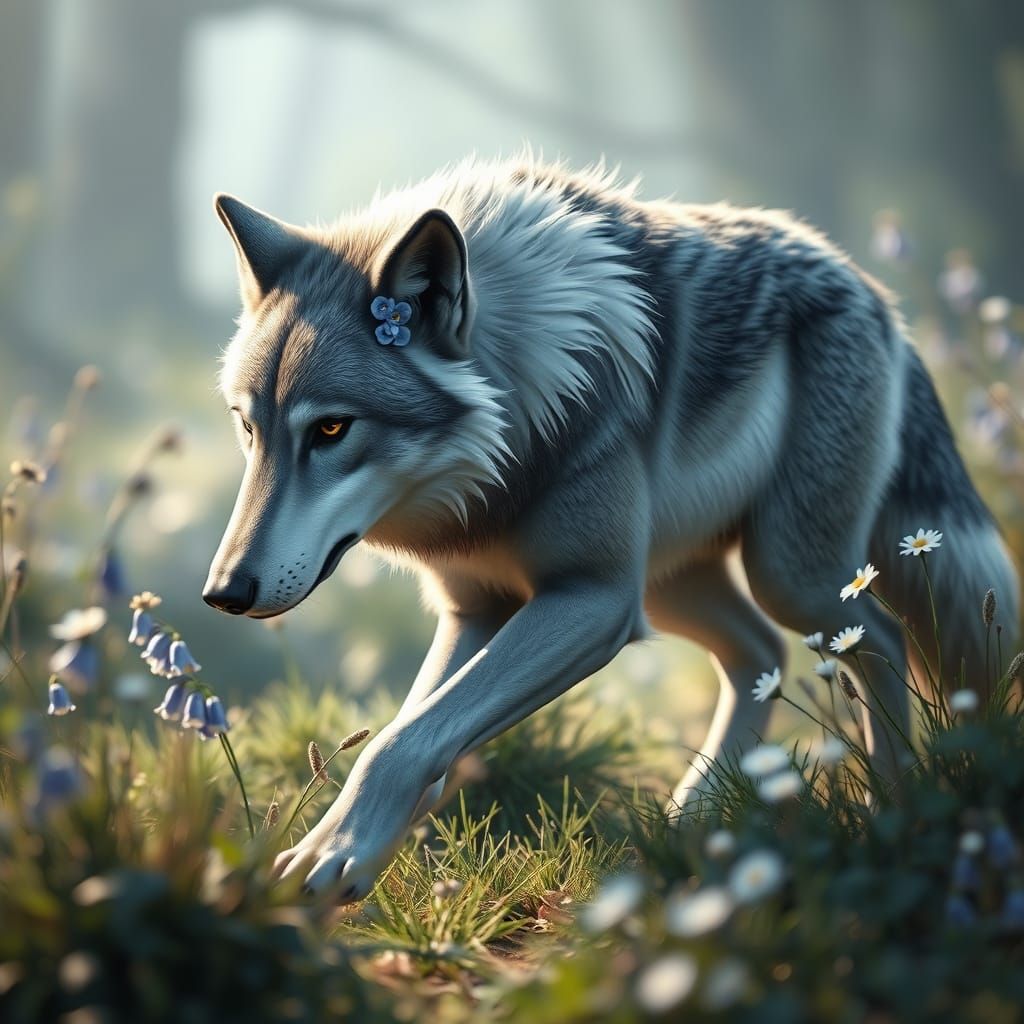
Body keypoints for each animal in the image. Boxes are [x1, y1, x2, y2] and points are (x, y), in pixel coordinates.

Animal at [203, 156, 1019, 901]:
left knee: (877, 637)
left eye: (332, 429)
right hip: (670, 587)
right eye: (248, 427)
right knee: (760, 653)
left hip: (786, 577)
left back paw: (895, 808)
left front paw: (333, 854)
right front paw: (351, 847)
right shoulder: (477, 610)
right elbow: (419, 726)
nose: (222, 594)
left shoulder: (590, 599)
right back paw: (695, 822)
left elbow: (399, 742)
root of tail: (875, 294)